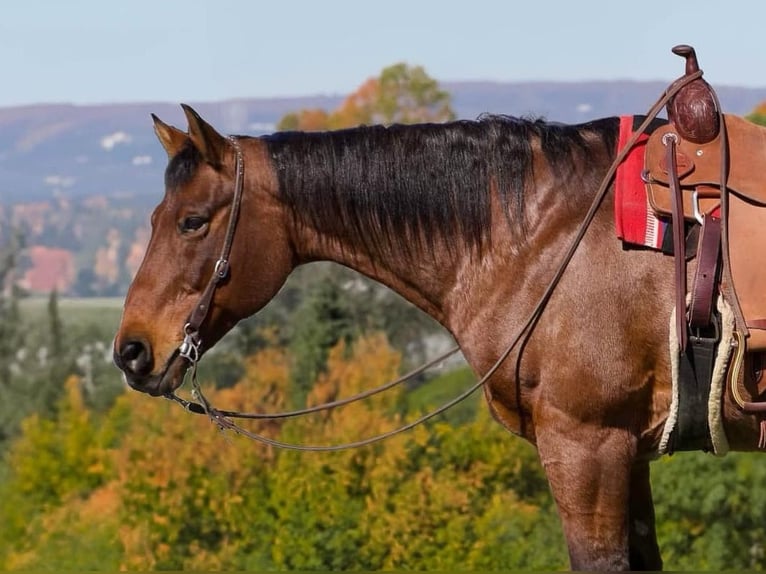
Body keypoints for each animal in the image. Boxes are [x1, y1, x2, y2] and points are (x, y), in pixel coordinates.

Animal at [111, 102, 764, 572]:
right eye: (153, 219)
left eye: (193, 221)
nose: (132, 351)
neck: (549, 238)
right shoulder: (626, 454)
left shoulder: (588, 446)